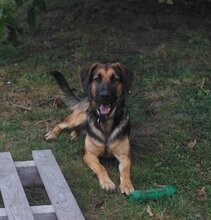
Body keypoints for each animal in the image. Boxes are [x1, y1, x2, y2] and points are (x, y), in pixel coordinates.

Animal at [45, 62, 134, 194]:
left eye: (115, 79)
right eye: (97, 79)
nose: (105, 96)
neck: (105, 123)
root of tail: (85, 98)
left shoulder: (125, 157)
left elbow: (125, 171)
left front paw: (127, 184)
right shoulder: (90, 155)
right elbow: (101, 167)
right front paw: (107, 182)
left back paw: (74, 134)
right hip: (80, 117)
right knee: (63, 124)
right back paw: (53, 134)